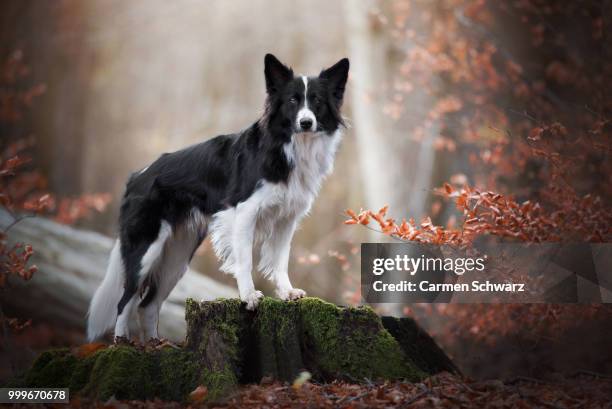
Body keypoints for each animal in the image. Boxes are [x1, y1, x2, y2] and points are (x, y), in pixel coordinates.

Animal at [86, 55, 350, 342]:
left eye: (317, 101)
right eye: (292, 100)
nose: (306, 123)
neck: (290, 146)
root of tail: (137, 176)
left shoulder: (286, 219)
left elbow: (280, 260)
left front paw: (287, 292)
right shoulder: (244, 211)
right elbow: (245, 260)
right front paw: (249, 296)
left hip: (177, 257)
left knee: (148, 304)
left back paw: (155, 345)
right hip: (146, 249)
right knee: (125, 300)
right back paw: (122, 341)